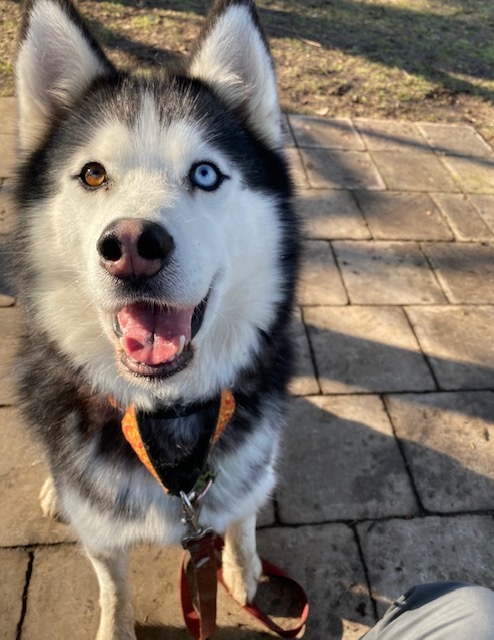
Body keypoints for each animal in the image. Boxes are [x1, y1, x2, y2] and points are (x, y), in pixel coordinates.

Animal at [13, 0, 300, 636]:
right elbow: (113, 587)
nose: (131, 245)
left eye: (206, 174)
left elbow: (244, 516)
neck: (164, 413)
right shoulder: (101, 532)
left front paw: (243, 569)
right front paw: (115, 627)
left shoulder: (250, 466)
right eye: (93, 173)